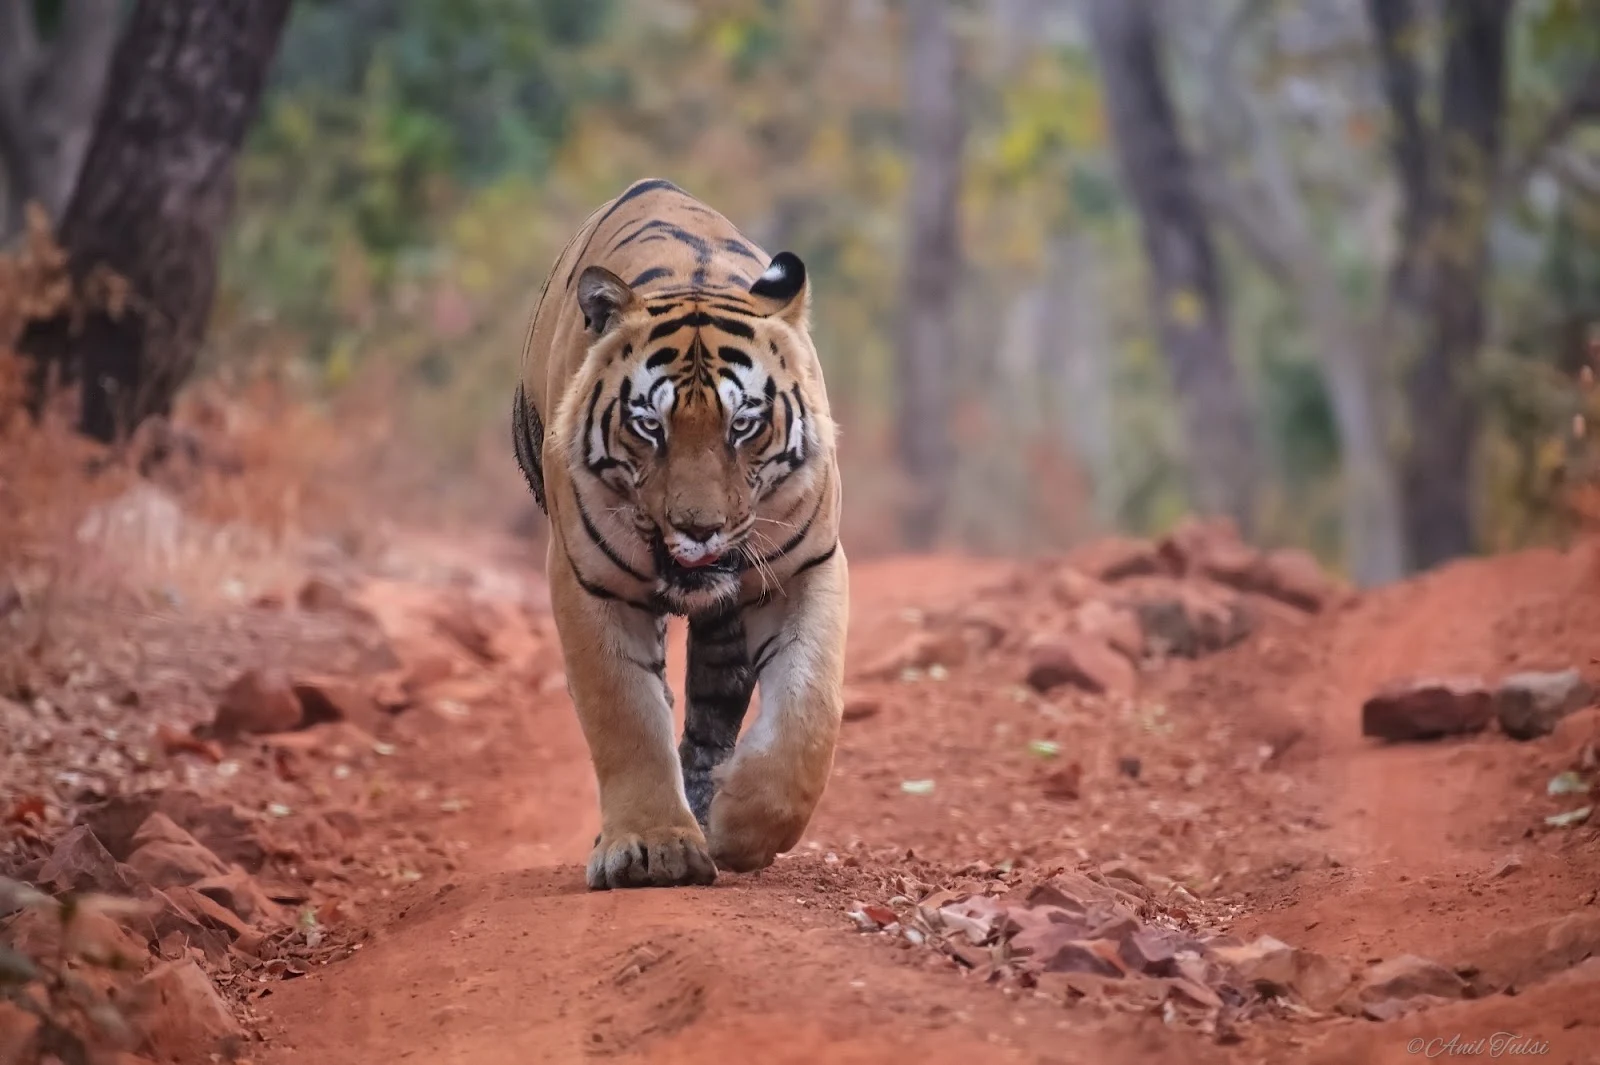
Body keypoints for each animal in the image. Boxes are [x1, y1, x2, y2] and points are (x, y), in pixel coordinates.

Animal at [512, 178, 848, 890]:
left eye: (744, 425)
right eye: (650, 426)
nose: (699, 529)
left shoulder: (806, 568)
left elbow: (809, 711)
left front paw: (742, 826)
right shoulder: (588, 582)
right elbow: (626, 715)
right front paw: (652, 849)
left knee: (711, 713)